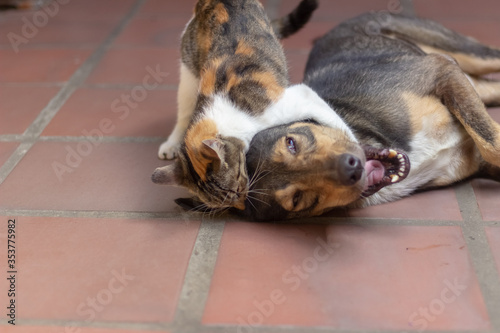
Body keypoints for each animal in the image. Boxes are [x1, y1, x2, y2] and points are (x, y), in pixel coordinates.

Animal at [152, 0, 352, 210]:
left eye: (237, 180)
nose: (242, 200)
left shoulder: (299, 96)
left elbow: (337, 123)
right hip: (189, 75)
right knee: (183, 115)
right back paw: (172, 144)